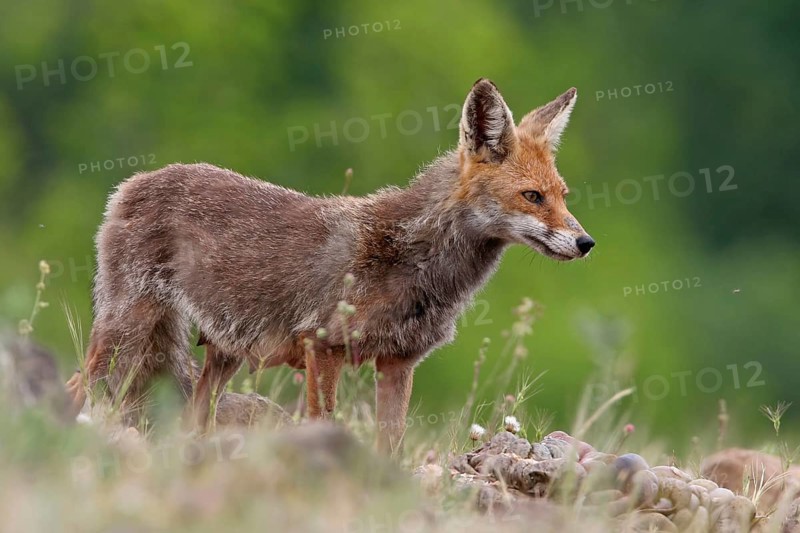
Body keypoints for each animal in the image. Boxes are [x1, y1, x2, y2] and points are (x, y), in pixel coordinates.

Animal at [65, 78, 594, 453]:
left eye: (564, 196)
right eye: (532, 196)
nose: (586, 242)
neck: (417, 262)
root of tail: (134, 181)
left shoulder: (398, 363)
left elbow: (392, 444)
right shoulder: (322, 348)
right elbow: (325, 423)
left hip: (219, 356)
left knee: (190, 423)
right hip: (125, 335)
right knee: (77, 387)